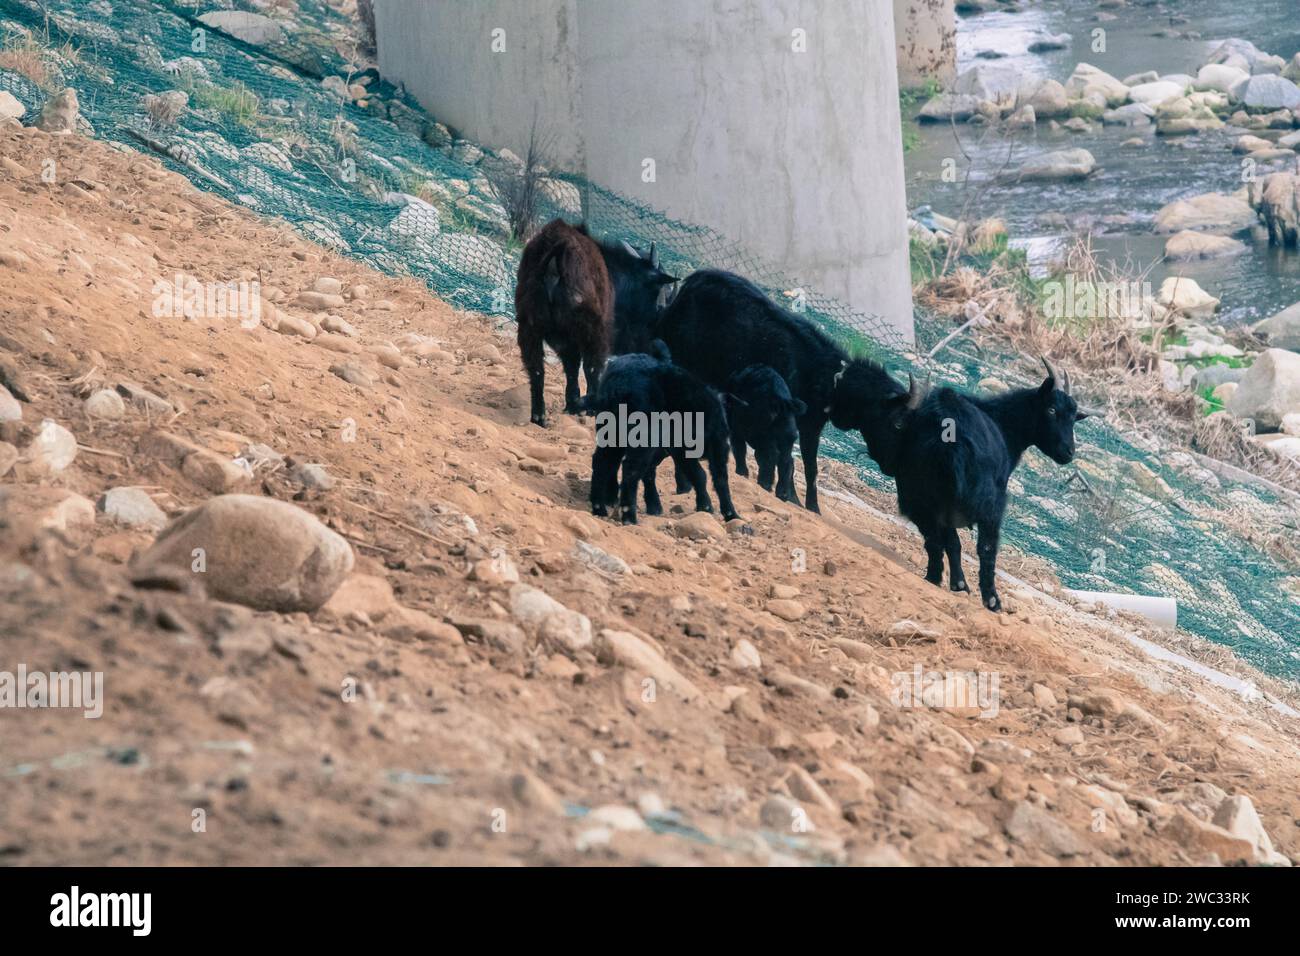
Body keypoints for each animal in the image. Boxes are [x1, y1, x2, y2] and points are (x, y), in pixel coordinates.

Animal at [589, 341, 738, 525]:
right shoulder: (715, 445)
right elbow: (717, 478)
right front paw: (727, 513)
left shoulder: (681, 450)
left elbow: (699, 475)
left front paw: (705, 507)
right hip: (643, 438)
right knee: (630, 468)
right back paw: (629, 516)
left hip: (611, 434)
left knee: (603, 462)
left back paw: (600, 508)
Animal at [723, 364, 805, 503]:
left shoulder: (737, 431)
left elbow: (740, 450)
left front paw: (742, 473)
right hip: (786, 440)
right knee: (787, 461)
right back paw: (782, 494)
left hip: (766, 438)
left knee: (771, 456)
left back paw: (765, 484)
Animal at [870, 359, 1092, 612]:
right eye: (1052, 409)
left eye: (1073, 418)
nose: (1068, 452)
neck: (1002, 423)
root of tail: (947, 433)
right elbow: (979, 545)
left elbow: (949, 540)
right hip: (987, 500)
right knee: (985, 546)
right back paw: (991, 599)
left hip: (916, 490)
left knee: (935, 536)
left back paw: (938, 578)